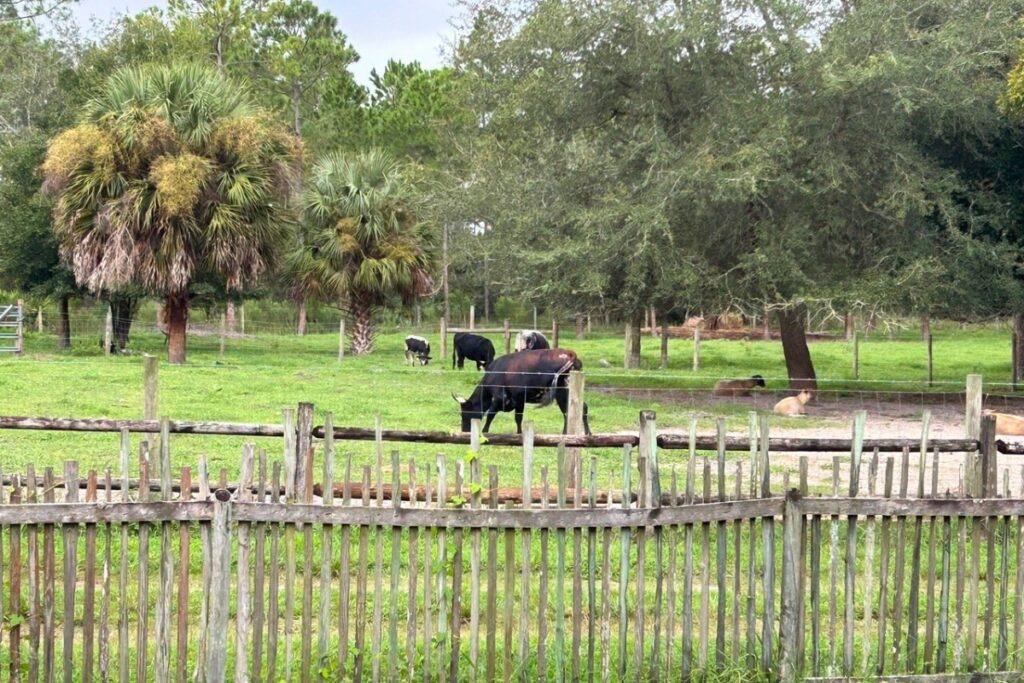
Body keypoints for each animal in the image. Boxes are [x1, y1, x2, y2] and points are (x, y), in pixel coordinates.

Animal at [452, 348, 592, 434]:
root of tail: (569, 353)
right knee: (580, 409)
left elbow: (490, 414)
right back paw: (586, 433)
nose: (464, 430)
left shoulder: (499, 398)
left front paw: (484, 431)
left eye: (464, 412)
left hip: (563, 391)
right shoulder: (519, 400)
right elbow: (518, 418)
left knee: (569, 412)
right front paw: (519, 434)